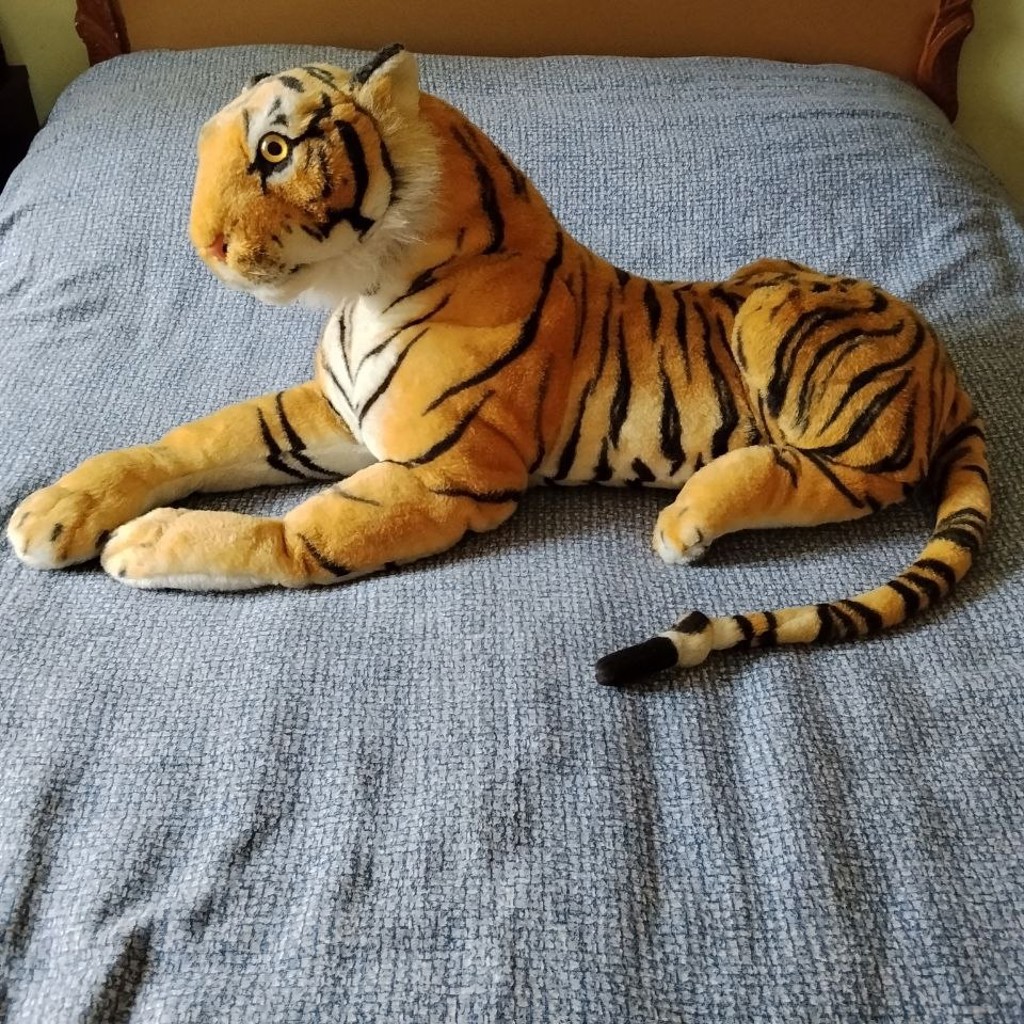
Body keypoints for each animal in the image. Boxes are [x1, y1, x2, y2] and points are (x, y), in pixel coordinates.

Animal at [6, 44, 991, 686]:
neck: (361, 287)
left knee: (828, 476)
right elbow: (197, 438)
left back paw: (690, 518)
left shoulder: (445, 475)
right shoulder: (332, 414)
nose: (201, 244)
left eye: (275, 152)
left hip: (785, 329)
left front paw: (141, 543)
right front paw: (57, 510)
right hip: (766, 282)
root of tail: (946, 368)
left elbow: (294, 534)